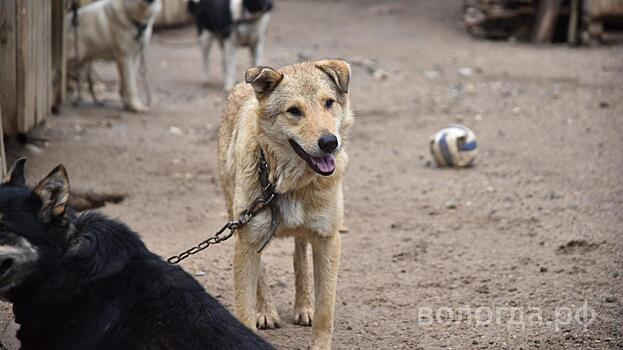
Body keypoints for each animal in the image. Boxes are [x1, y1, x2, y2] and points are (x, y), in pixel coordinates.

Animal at [218, 60, 356, 350]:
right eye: (294, 111)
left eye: (328, 103)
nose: (330, 142)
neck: (287, 182)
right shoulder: (247, 240)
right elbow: (244, 307)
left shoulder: (327, 239)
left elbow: (325, 310)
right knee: (262, 274)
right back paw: (266, 311)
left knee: (299, 256)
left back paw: (303, 306)